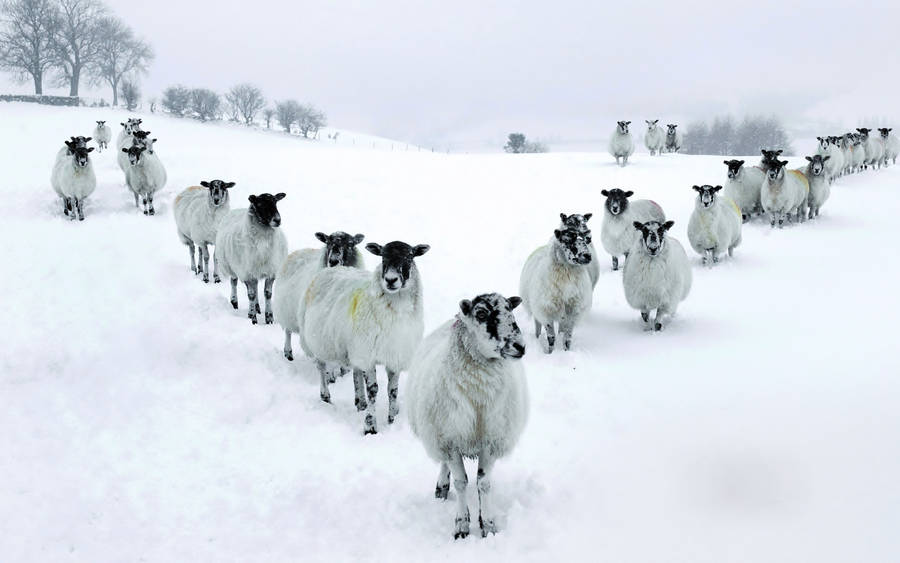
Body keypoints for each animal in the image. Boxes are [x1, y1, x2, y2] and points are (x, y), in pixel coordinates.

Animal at [215, 192, 289, 326]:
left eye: (275, 202)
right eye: (260, 204)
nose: (277, 220)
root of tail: (238, 210)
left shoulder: (270, 271)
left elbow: (267, 294)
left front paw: (269, 317)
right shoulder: (247, 273)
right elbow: (251, 295)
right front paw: (253, 318)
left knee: (255, 286)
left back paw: (258, 307)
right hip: (233, 267)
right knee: (234, 282)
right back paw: (235, 302)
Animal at [272, 231, 365, 364]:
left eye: (350, 244)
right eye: (328, 242)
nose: (333, 261)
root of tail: (299, 251)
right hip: (286, 312)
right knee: (288, 332)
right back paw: (288, 353)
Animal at [299, 240, 429, 434]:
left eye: (409, 257)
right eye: (382, 257)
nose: (390, 280)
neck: (396, 308)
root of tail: (330, 269)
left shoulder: (395, 354)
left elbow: (392, 390)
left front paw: (391, 418)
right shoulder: (369, 355)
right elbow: (373, 390)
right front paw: (370, 425)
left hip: (354, 347)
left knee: (355, 371)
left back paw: (359, 401)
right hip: (319, 341)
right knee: (321, 367)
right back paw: (326, 396)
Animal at [405, 293, 528, 539]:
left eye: (511, 309)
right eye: (480, 314)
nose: (520, 346)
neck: (479, 396)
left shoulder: (490, 440)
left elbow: (484, 484)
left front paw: (487, 524)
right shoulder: (450, 439)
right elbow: (461, 482)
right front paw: (461, 525)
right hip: (439, 432)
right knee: (445, 464)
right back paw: (442, 487)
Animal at [519, 223, 593, 354]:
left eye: (586, 240)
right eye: (567, 240)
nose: (588, 256)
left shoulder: (573, 312)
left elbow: (567, 337)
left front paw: (566, 352)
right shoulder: (546, 311)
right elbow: (551, 337)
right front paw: (550, 353)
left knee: (561, 329)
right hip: (535, 306)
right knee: (537, 325)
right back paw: (537, 338)